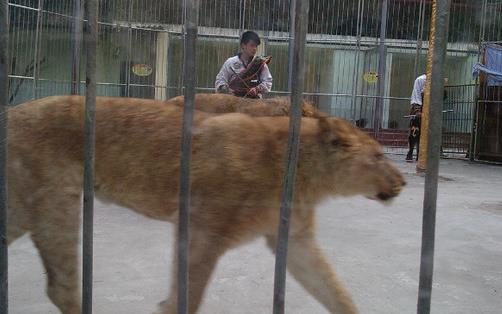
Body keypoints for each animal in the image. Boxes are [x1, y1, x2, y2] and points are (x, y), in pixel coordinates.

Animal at [6, 95, 404, 314]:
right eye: (379, 155)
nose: (402, 182)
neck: (305, 175)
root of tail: (8, 114)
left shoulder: (295, 240)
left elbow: (335, 292)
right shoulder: (201, 230)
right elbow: (188, 296)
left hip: (21, 213)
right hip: (55, 204)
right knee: (61, 288)